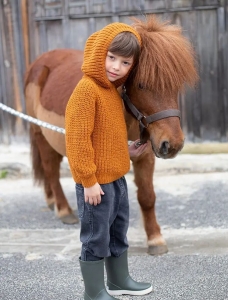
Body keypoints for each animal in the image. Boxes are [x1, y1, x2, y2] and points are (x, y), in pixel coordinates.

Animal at [23, 15, 198, 255]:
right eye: (141, 85)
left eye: (175, 85)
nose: (172, 145)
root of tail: (38, 63)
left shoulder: (146, 154)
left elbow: (147, 196)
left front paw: (155, 239)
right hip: (40, 133)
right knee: (50, 169)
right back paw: (64, 210)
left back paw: (52, 201)